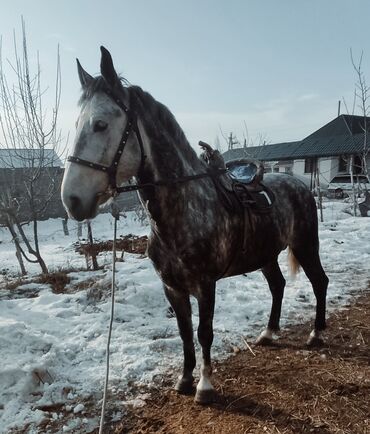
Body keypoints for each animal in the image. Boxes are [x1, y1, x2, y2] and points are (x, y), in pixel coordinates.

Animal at [61, 46, 330, 404]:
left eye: (101, 124)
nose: (72, 200)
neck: (183, 211)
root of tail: (299, 184)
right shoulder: (173, 288)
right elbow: (185, 332)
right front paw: (185, 379)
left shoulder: (205, 285)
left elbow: (204, 333)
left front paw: (204, 385)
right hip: (266, 255)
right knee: (278, 285)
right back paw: (269, 332)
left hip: (305, 244)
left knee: (319, 282)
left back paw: (316, 333)